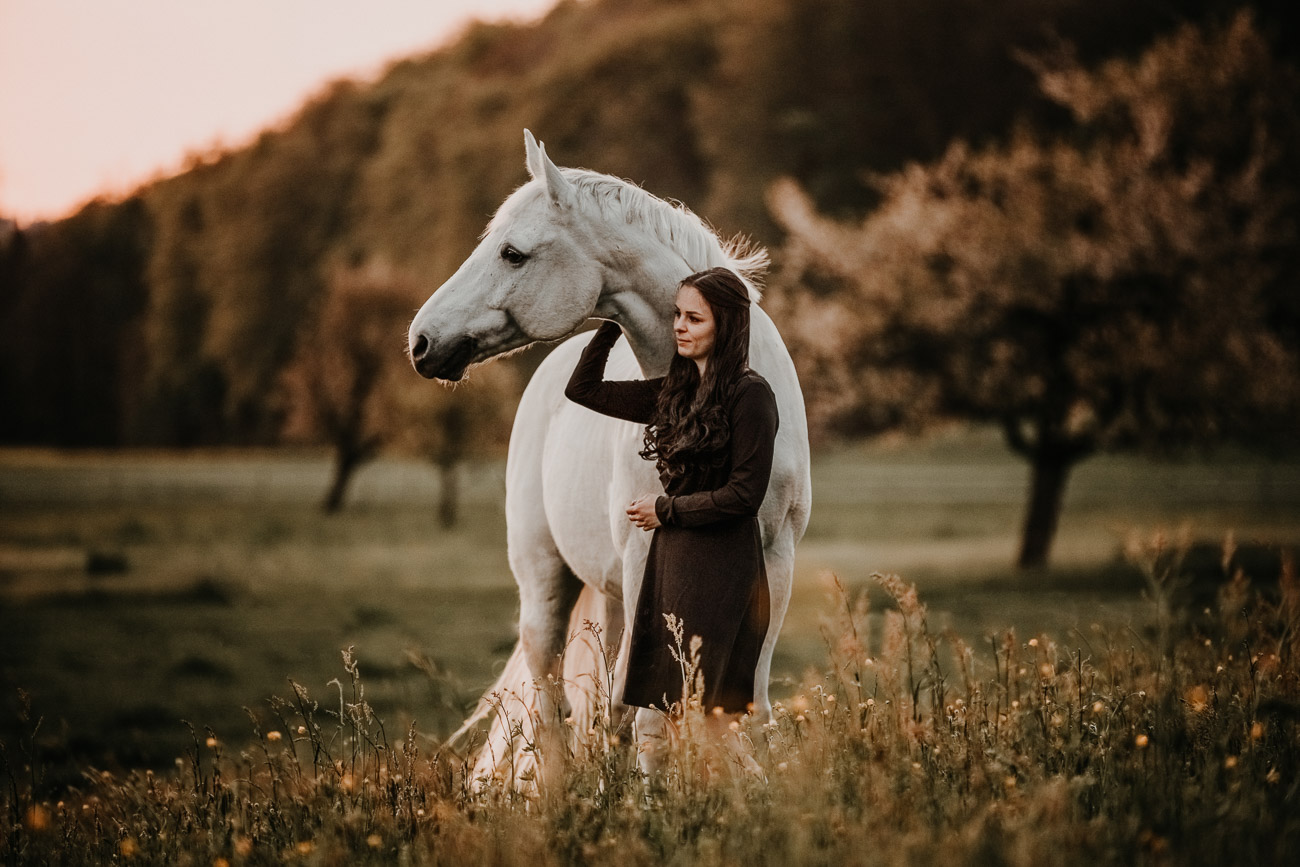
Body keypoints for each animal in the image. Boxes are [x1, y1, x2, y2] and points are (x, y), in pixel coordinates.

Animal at [408, 128, 811, 785]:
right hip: (547, 578)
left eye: (513, 254)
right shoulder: (648, 560)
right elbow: (651, 720)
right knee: (554, 705)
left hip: (619, 594)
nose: (420, 342)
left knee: (605, 715)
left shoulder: (775, 561)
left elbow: (741, 710)